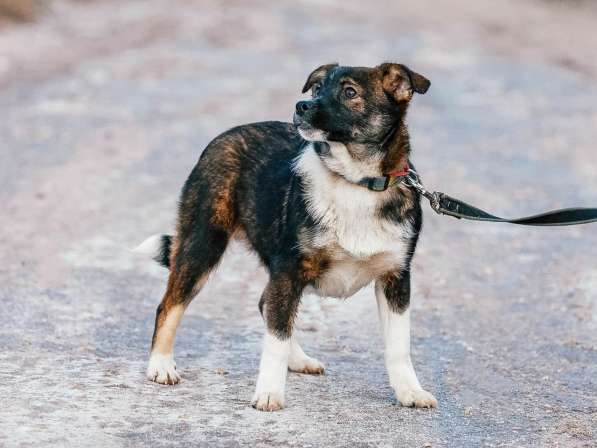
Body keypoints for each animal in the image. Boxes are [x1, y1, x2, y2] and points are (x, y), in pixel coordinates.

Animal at [133, 62, 436, 410]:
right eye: (317, 88)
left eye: (350, 92)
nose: (301, 106)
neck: (355, 182)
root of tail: (226, 136)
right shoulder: (289, 269)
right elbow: (275, 342)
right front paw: (269, 393)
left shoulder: (395, 277)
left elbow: (399, 346)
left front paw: (409, 391)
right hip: (203, 242)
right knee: (170, 305)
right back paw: (160, 365)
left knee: (268, 306)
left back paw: (299, 359)